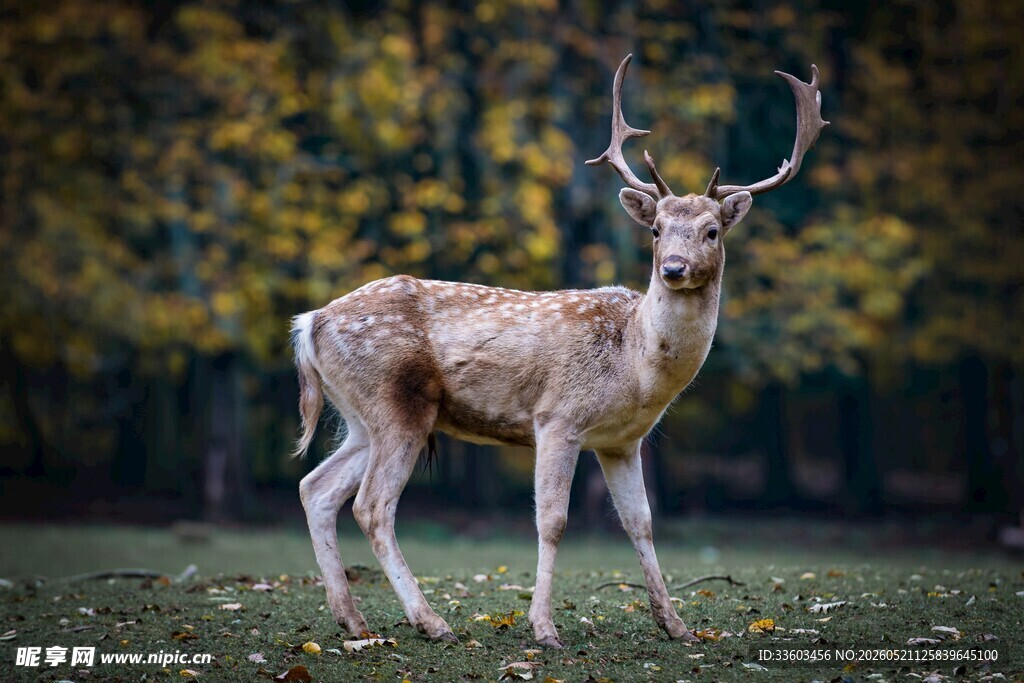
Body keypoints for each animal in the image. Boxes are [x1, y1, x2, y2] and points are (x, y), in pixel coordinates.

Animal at [292, 54, 827, 647]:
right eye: (657, 229)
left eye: (712, 231)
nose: (673, 268)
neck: (635, 366)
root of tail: (309, 323)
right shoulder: (557, 418)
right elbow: (553, 521)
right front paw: (544, 628)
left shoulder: (621, 441)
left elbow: (641, 522)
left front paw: (677, 625)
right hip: (396, 402)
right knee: (372, 506)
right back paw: (432, 622)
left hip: (360, 415)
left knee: (315, 487)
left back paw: (352, 620)